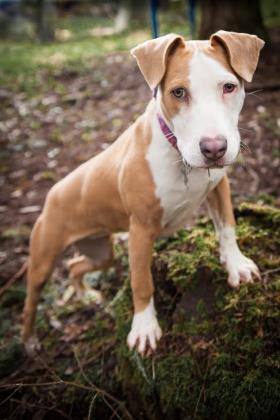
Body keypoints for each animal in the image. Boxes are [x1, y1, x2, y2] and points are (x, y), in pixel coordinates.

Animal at [22, 30, 264, 354]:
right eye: (178, 92)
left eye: (229, 87)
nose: (214, 148)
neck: (178, 156)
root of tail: (53, 192)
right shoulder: (140, 229)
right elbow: (141, 281)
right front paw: (144, 328)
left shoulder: (218, 187)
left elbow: (226, 227)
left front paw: (236, 265)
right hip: (44, 259)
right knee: (31, 300)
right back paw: (29, 340)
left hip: (100, 251)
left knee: (75, 265)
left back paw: (86, 295)